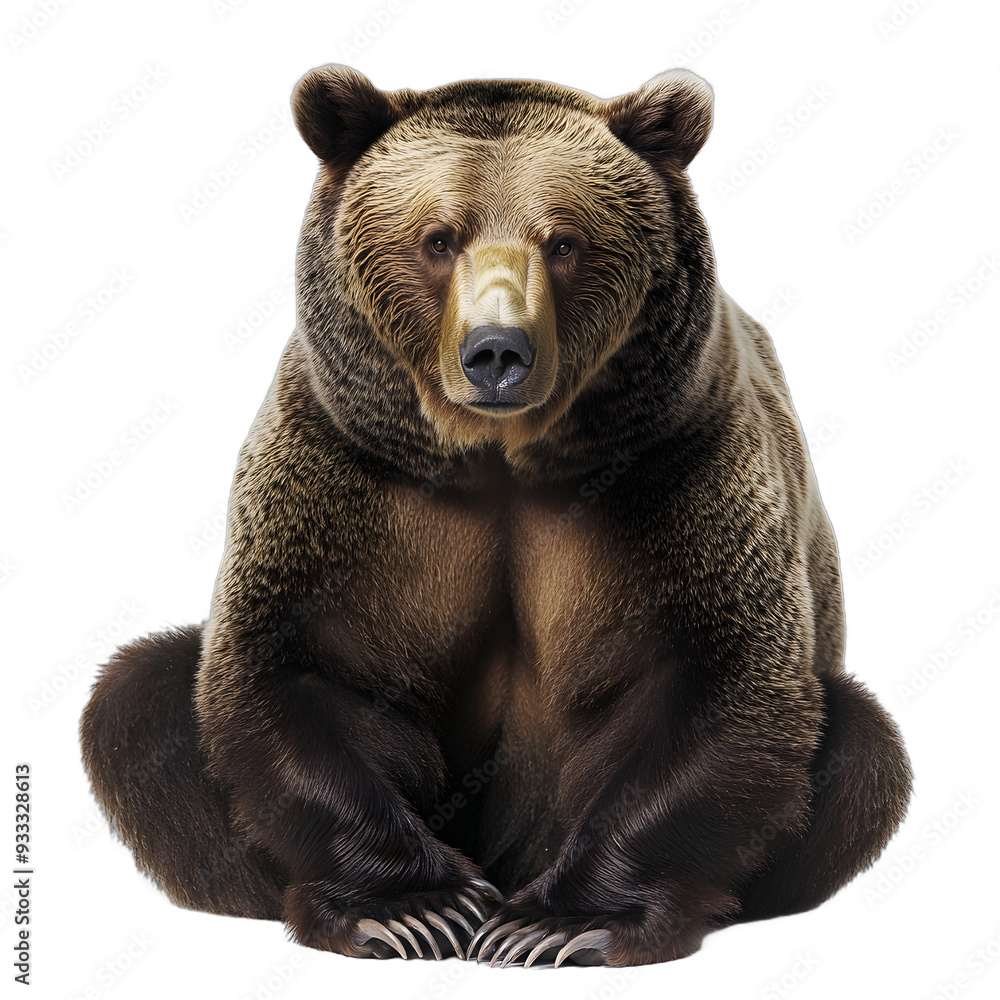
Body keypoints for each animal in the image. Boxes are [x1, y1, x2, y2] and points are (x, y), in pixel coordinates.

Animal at [79, 64, 913, 968]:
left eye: (564, 241)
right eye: (439, 239)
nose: (497, 352)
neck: (500, 456)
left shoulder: (681, 461)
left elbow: (723, 685)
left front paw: (560, 924)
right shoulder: (343, 469)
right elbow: (294, 668)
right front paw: (414, 910)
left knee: (862, 748)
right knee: (139, 699)